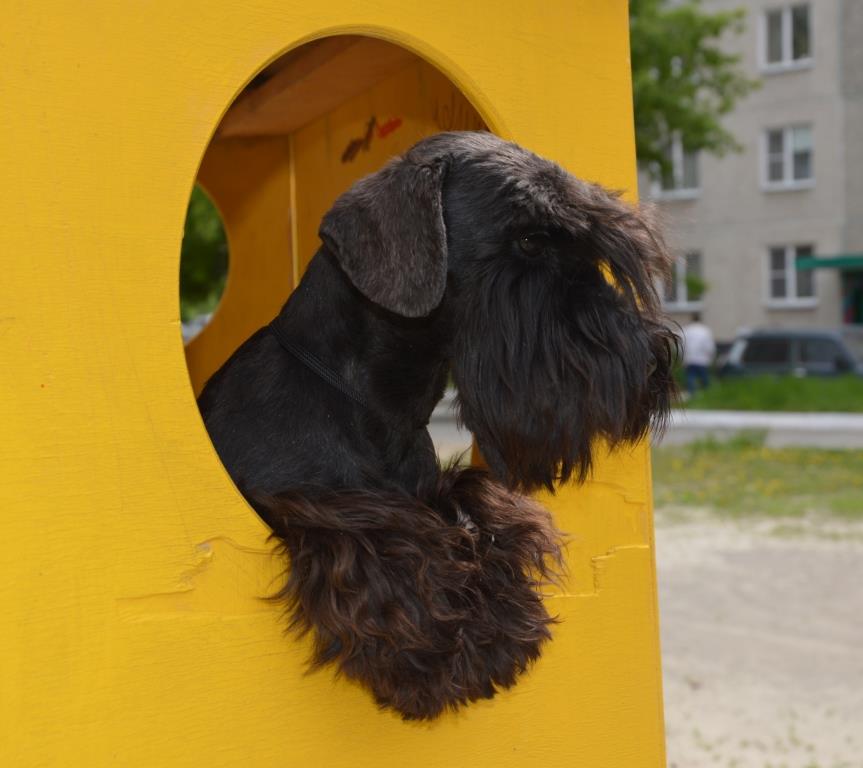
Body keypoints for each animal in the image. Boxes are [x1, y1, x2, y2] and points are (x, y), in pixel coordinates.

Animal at [199, 130, 680, 720]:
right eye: (529, 240)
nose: (653, 358)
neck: (378, 407)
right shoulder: (317, 506)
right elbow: (389, 546)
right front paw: (467, 645)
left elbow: (479, 506)